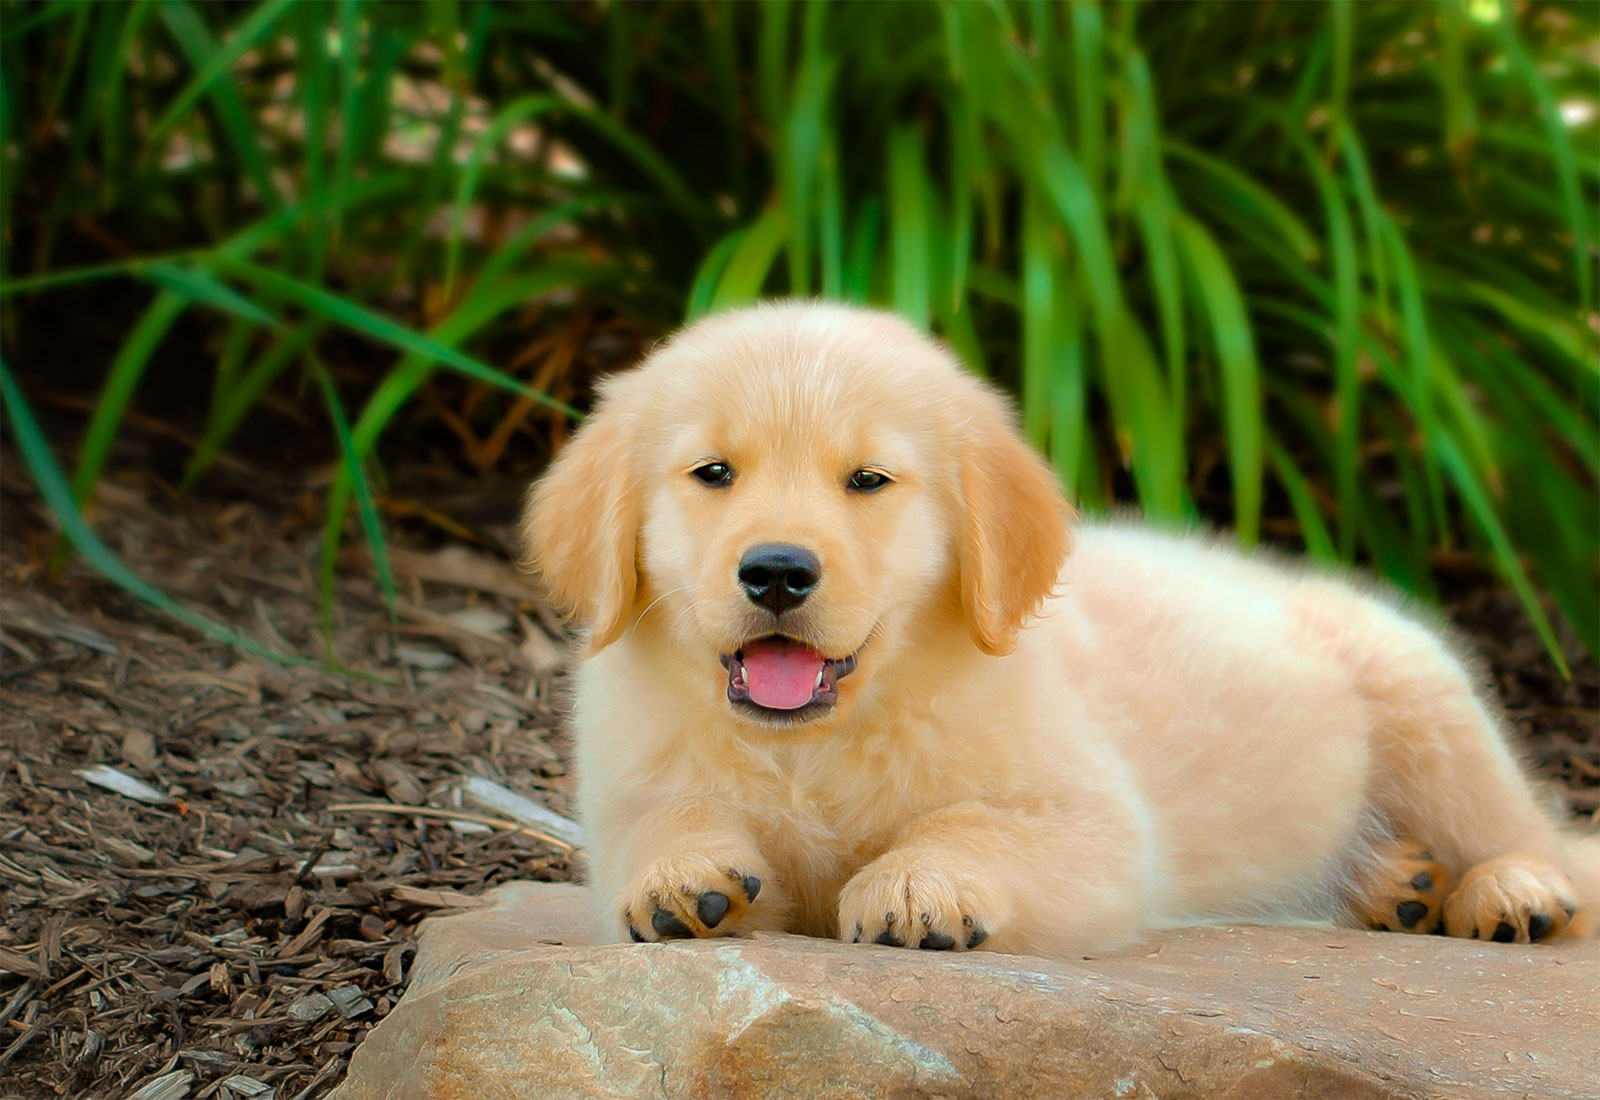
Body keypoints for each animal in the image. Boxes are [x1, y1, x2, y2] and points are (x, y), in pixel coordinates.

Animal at [521, 298, 1587, 952]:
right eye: (713, 474)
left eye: (868, 480)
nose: (778, 572)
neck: (814, 745)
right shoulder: (623, 794)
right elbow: (667, 818)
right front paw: (681, 876)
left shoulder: (1096, 826)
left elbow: (971, 822)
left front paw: (921, 887)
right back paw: (1393, 882)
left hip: (1428, 703)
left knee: (1543, 836)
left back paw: (1512, 892)